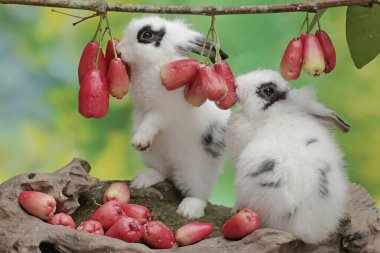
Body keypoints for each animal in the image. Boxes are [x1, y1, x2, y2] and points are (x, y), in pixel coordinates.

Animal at [116, 16, 230, 219]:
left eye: (146, 35)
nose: (119, 50)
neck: (154, 64)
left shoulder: (165, 112)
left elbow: (151, 121)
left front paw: (139, 140)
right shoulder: (142, 111)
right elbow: (142, 120)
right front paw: (139, 140)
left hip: (195, 170)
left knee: (200, 193)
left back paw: (189, 210)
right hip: (155, 156)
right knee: (161, 172)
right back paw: (142, 180)